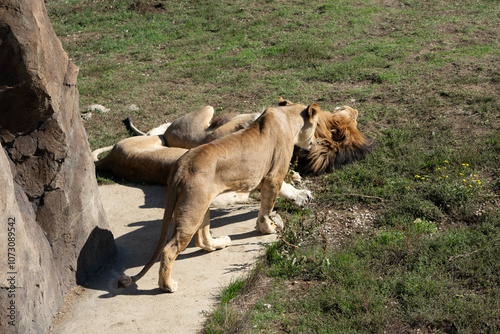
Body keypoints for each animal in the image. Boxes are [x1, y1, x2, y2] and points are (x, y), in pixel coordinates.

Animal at [117, 100, 318, 290]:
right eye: (316, 126)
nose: (315, 142)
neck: (287, 117)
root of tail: (179, 168)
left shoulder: (261, 177)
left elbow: (274, 199)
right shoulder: (272, 177)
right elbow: (266, 208)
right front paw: (268, 228)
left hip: (201, 206)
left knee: (202, 238)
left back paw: (220, 243)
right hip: (192, 210)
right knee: (170, 249)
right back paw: (167, 285)